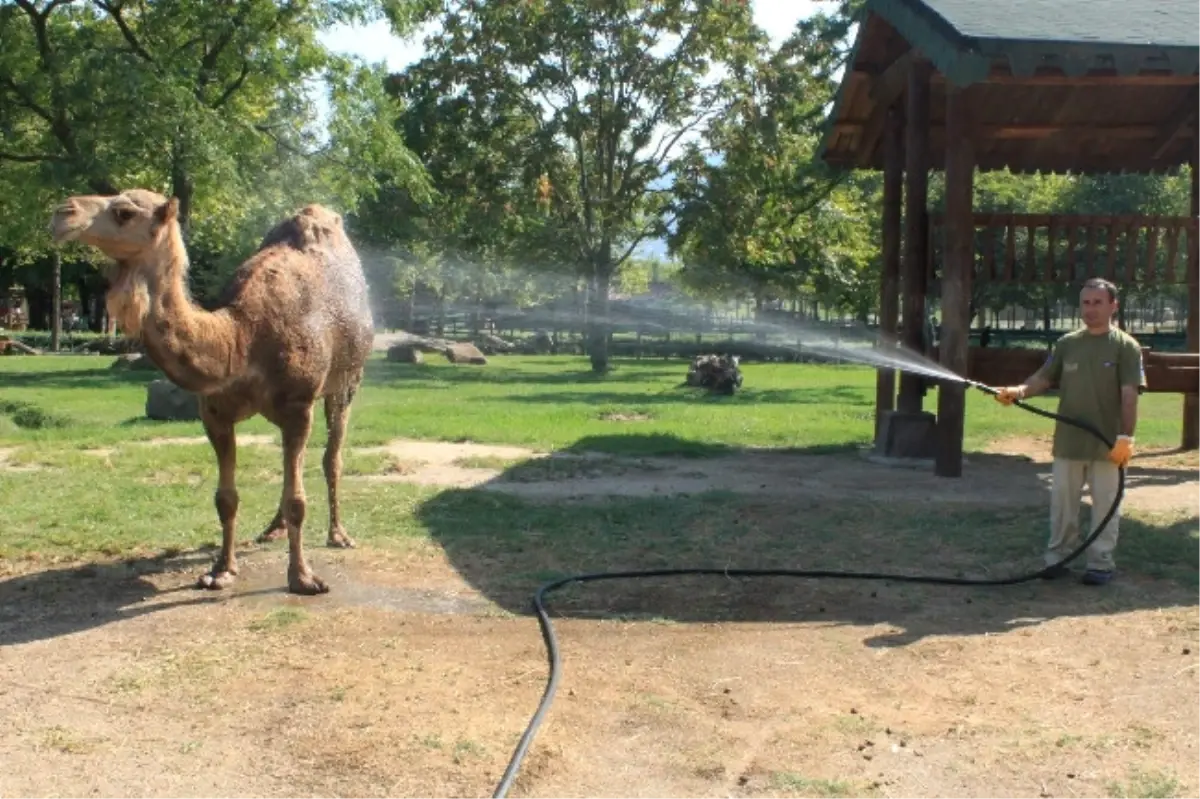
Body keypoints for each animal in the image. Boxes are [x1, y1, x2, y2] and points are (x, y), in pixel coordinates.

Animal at [49, 187, 372, 590]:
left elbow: (298, 499)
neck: (239, 338)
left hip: (347, 380)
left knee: (332, 456)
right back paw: (272, 530)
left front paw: (303, 578)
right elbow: (226, 498)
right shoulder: (214, 411)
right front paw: (220, 570)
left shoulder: (298, 406)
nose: (62, 213)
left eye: (124, 212)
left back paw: (338, 535)